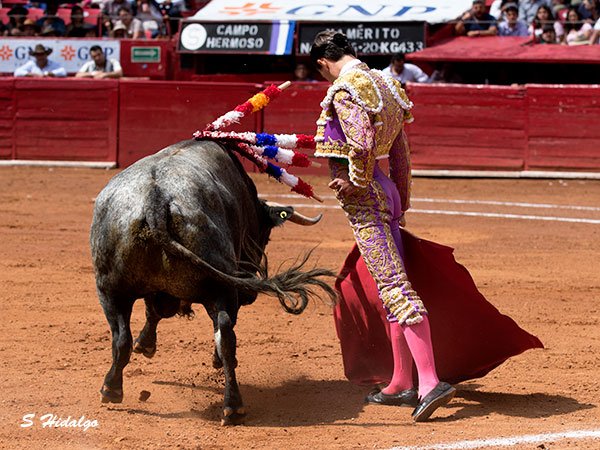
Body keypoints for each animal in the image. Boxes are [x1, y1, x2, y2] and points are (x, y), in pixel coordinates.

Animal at [92, 141, 340, 426]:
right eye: (265, 235)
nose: (250, 293)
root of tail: (156, 202)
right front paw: (148, 344)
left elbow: (153, 312)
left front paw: (145, 344)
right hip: (222, 290)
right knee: (225, 338)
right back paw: (233, 406)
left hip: (109, 289)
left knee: (121, 338)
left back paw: (111, 388)